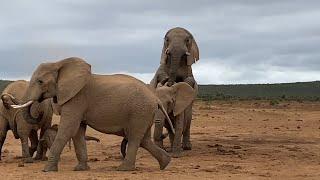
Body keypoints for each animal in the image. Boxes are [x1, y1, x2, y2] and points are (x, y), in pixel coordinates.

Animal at [13, 57, 175, 172]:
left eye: (40, 81)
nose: (39, 113)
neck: (59, 63)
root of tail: (155, 98)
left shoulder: (77, 98)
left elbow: (68, 129)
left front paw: (47, 170)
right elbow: (78, 132)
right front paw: (80, 169)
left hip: (139, 111)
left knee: (135, 138)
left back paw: (123, 169)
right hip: (144, 113)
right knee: (144, 140)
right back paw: (165, 163)